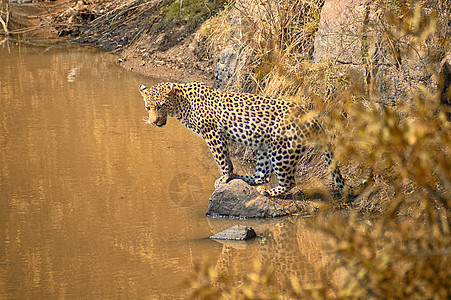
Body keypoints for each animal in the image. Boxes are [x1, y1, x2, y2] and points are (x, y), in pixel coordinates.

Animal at [139, 81, 348, 197]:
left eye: (161, 106)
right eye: (148, 108)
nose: (154, 122)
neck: (181, 104)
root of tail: (312, 117)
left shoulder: (212, 133)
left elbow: (221, 159)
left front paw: (224, 177)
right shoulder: (218, 135)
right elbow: (226, 158)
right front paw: (229, 175)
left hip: (282, 151)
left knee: (288, 181)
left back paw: (268, 192)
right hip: (265, 148)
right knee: (262, 175)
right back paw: (242, 178)